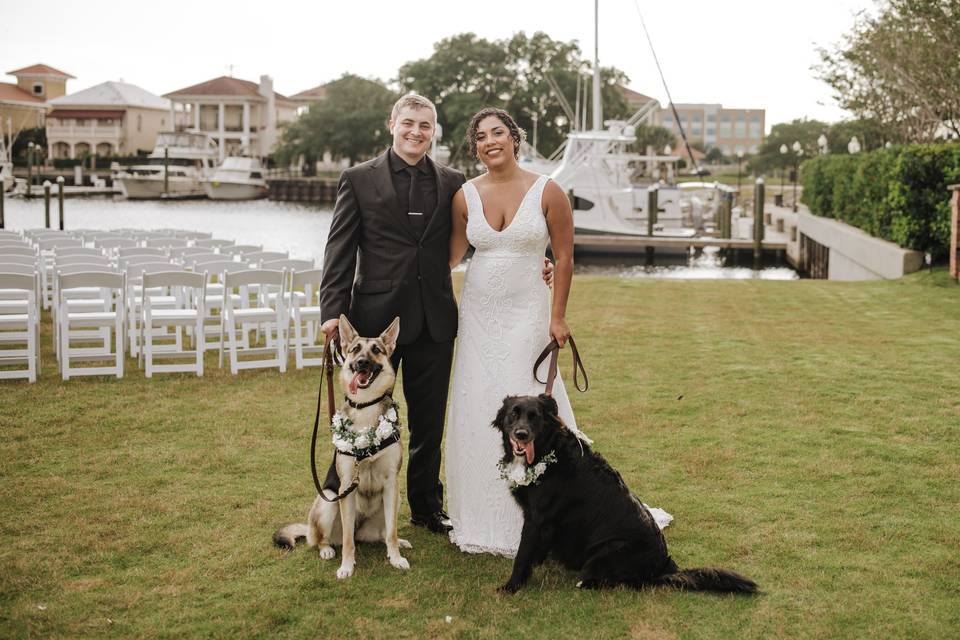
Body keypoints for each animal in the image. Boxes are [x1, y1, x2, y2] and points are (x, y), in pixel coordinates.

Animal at [272, 316, 410, 580]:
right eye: (355, 349)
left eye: (376, 350)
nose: (362, 362)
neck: (366, 406)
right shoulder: (346, 485)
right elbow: (347, 541)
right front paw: (347, 566)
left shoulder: (391, 484)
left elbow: (392, 532)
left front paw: (396, 558)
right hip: (329, 500)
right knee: (325, 539)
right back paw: (326, 549)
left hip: (391, 501)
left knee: (383, 533)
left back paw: (398, 544)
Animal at [496, 396, 756, 596]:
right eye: (513, 414)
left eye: (535, 416)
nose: (521, 434)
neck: (548, 450)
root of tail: (665, 566)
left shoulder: (536, 519)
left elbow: (523, 554)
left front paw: (511, 586)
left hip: (610, 548)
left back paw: (586, 582)